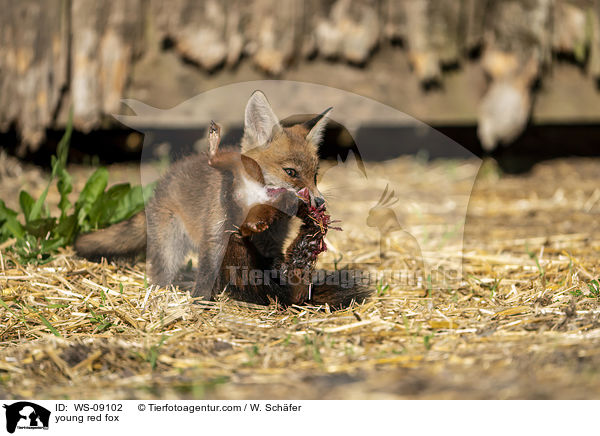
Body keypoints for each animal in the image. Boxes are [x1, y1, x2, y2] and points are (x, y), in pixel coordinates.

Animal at [76, 89, 370, 306]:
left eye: (315, 175)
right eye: (291, 172)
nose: (320, 203)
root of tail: (162, 183)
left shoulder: (271, 245)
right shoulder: (216, 235)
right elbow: (208, 271)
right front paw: (200, 301)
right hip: (171, 246)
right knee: (163, 274)